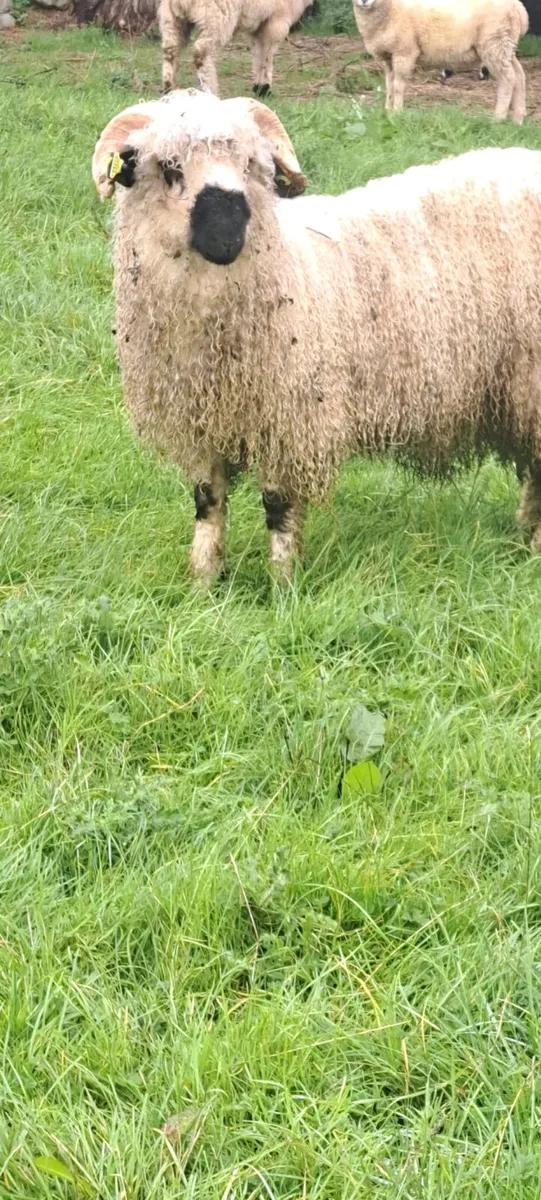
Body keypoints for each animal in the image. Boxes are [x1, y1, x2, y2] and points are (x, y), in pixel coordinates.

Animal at [93, 89, 541, 584]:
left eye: (251, 165)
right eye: (170, 169)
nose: (228, 236)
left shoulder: (291, 418)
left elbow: (279, 505)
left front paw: (282, 583)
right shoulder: (203, 421)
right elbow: (207, 502)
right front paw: (204, 580)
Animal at [158, 0, 312, 96]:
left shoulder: (258, 25)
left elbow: (258, 52)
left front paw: (258, 87)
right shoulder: (277, 20)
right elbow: (268, 55)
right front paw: (265, 87)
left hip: (171, 17)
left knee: (170, 50)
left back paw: (168, 89)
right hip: (216, 17)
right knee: (201, 52)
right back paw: (209, 89)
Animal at [353, 0, 528, 124]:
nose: (364, 1)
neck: (391, 9)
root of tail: (519, 8)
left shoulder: (405, 52)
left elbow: (398, 86)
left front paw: (397, 113)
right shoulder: (389, 58)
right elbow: (389, 85)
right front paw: (387, 111)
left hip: (494, 43)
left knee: (508, 78)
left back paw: (498, 118)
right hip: (505, 45)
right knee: (519, 76)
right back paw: (517, 120)